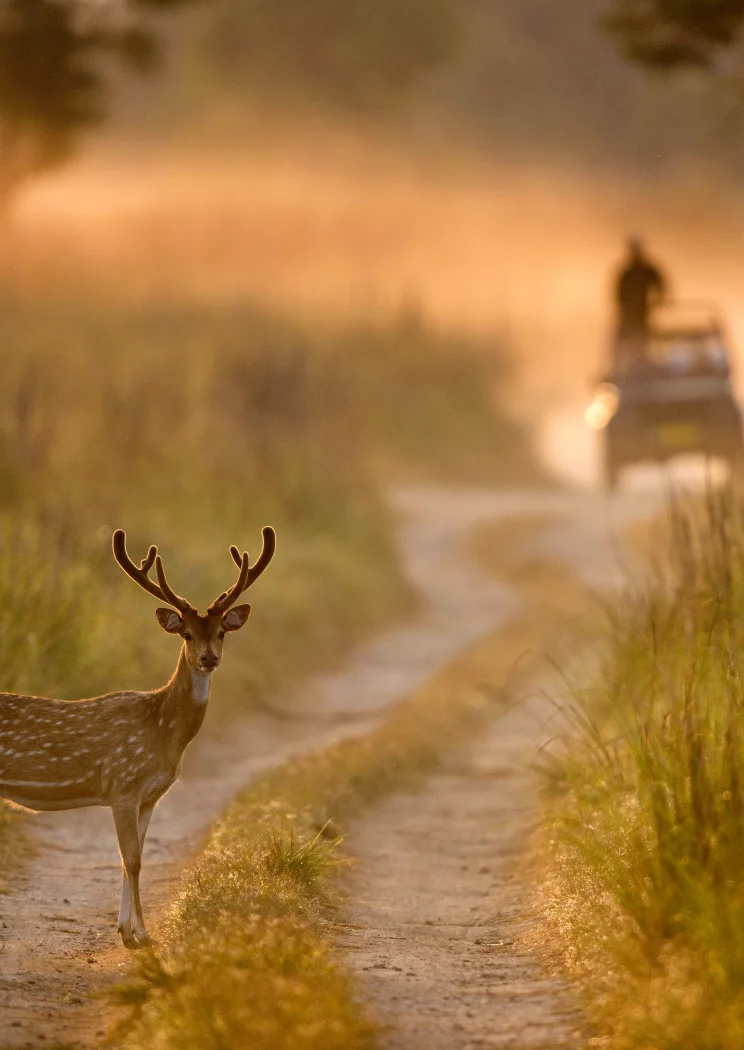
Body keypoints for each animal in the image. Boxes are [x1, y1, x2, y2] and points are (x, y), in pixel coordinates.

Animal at [0, 529, 274, 949]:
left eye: (222, 632)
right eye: (187, 633)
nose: (209, 658)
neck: (163, 731)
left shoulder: (149, 796)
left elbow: (134, 857)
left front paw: (127, 930)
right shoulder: (123, 785)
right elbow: (132, 858)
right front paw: (141, 935)